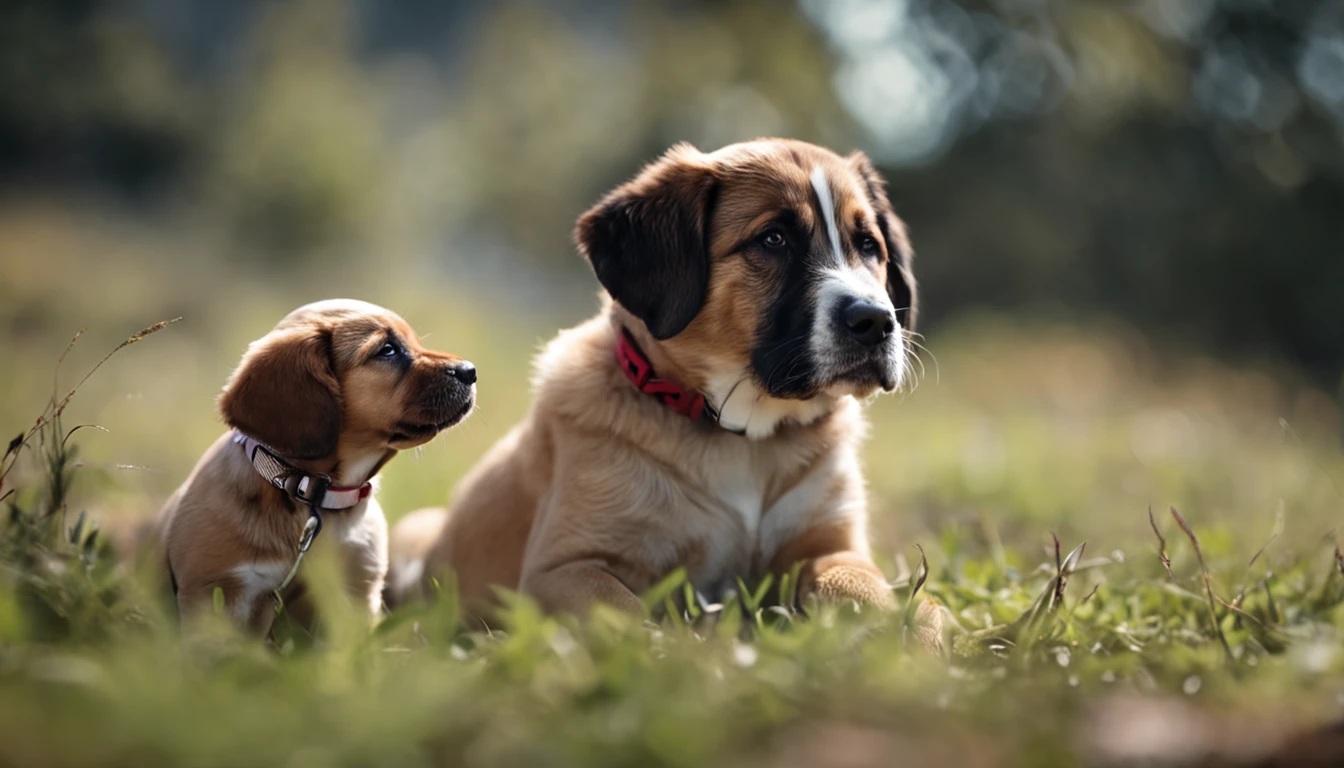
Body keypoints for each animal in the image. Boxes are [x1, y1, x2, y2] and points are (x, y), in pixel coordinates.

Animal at [384, 136, 919, 618]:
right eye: (774, 239)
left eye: (869, 245)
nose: (876, 322)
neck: (742, 437)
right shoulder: (564, 568)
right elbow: (628, 617)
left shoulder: (835, 547)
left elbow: (864, 591)